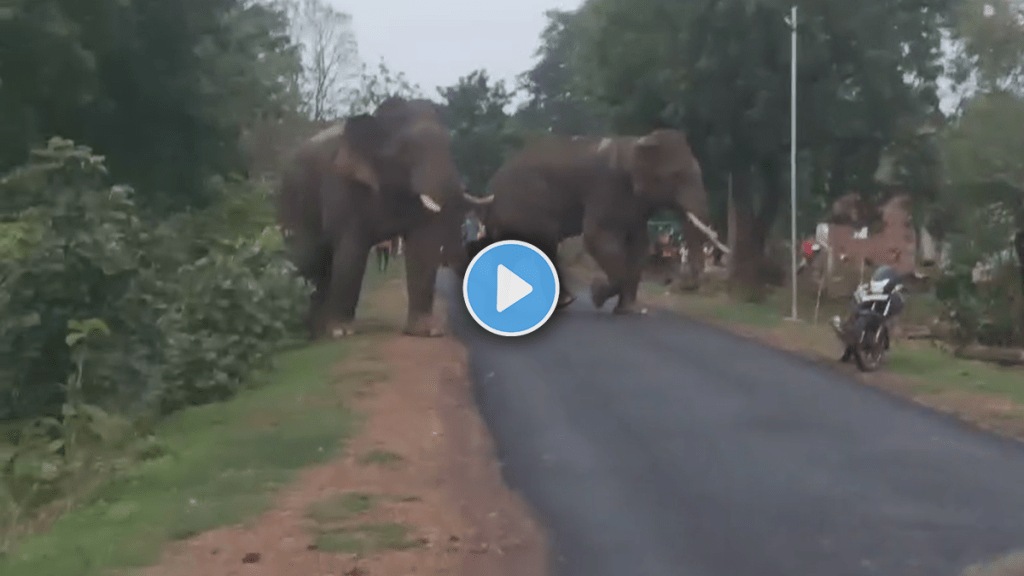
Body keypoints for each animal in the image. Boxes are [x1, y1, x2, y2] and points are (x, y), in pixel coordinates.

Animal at [276, 96, 487, 338]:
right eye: (407, 149)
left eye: (448, 145)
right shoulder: (342, 184)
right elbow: (351, 250)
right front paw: (341, 331)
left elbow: (423, 248)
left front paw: (428, 331)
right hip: (292, 199)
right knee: (308, 256)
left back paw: (316, 328)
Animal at [466, 129, 726, 314]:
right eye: (676, 176)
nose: (683, 284)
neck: (636, 142)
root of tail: (491, 190)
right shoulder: (607, 188)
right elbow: (598, 238)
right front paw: (597, 294)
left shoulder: (634, 205)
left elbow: (639, 245)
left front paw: (626, 310)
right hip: (525, 206)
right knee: (543, 243)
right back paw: (564, 301)